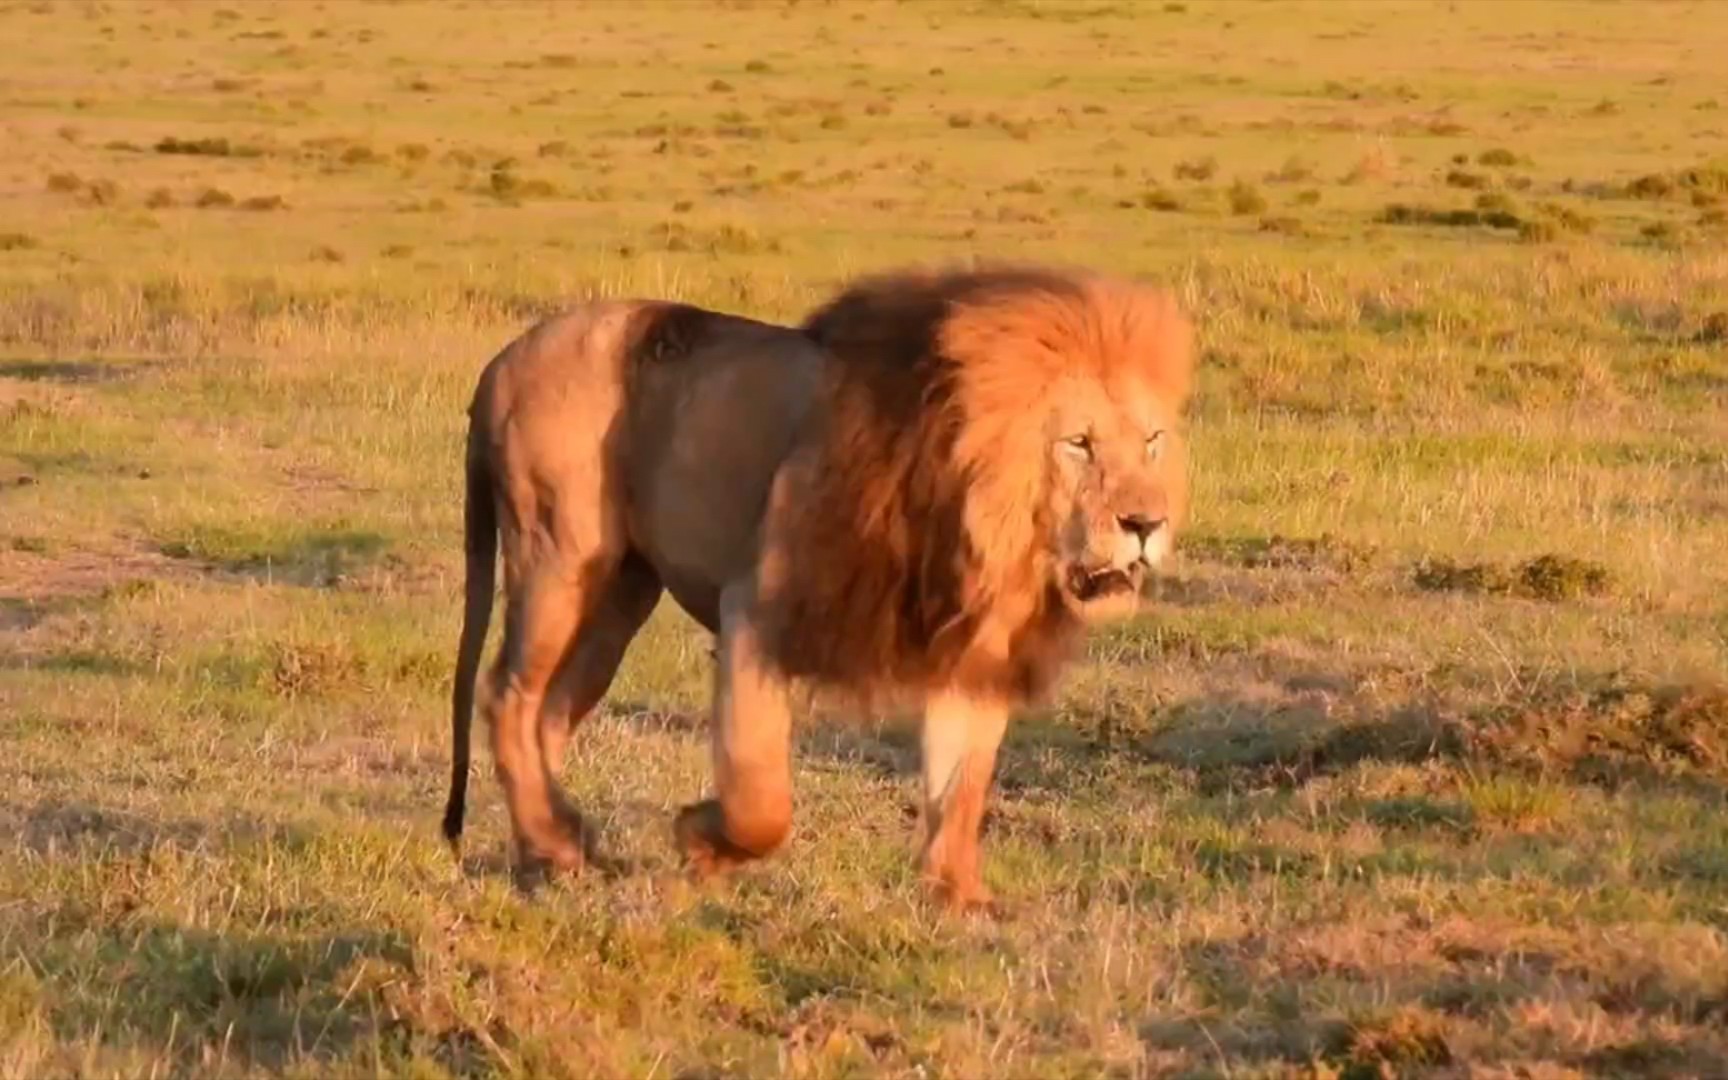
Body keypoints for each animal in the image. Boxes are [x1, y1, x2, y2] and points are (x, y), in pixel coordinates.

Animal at [445, 262, 1195, 912]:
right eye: (1079, 444)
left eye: (1152, 440)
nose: (1146, 523)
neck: (981, 527)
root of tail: (500, 362)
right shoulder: (755, 609)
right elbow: (760, 800)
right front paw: (701, 843)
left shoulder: (972, 652)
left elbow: (961, 783)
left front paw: (958, 896)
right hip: (559, 556)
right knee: (507, 694)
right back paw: (553, 843)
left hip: (619, 599)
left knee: (548, 713)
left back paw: (552, 844)